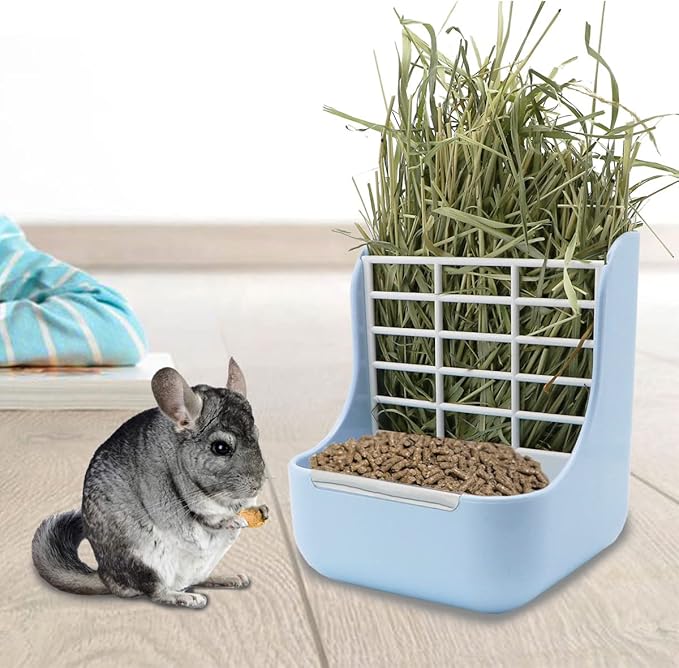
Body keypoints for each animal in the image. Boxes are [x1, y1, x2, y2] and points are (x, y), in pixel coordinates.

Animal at [32, 358, 267, 609]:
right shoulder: (194, 503)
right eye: (220, 447)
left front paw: (261, 509)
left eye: (257, 436)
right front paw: (234, 520)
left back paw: (231, 578)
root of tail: (105, 576)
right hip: (144, 559)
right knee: (157, 592)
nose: (257, 485)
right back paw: (189, 598)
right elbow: (212, 518)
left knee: (196, 579)